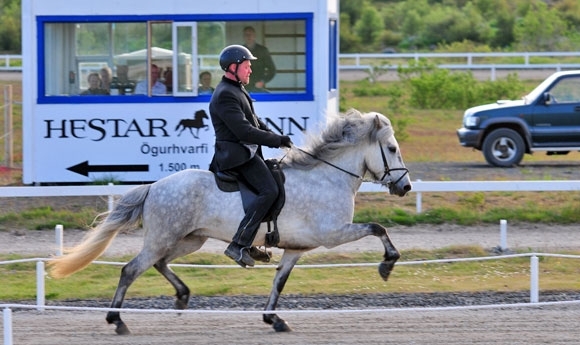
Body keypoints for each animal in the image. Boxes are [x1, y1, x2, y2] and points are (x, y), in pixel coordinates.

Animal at [49, 108, 412, 334]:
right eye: (392, 148)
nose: (405, 187)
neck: (328, 177)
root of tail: (154, 186)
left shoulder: (296, 248)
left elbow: (279, 282)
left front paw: (273, 320)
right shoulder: (333, 234)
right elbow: (378, 228)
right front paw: (388, 264)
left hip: (190, 240)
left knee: (160, 264)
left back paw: (182, 295)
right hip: (164, 238)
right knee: (131, 269)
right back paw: (118, 320)